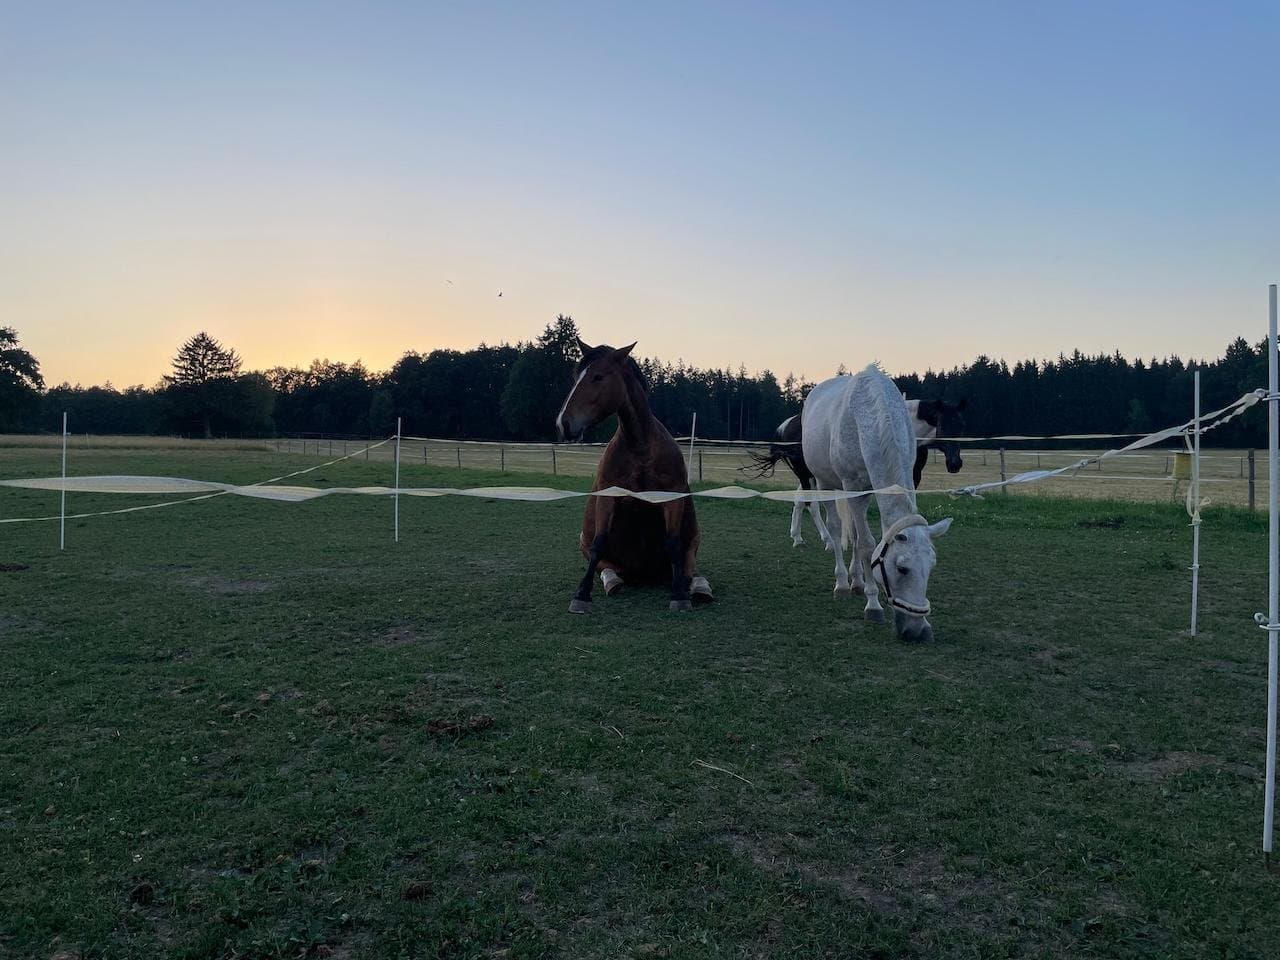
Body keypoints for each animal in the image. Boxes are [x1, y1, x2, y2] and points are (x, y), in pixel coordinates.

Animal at [555, 338, 713, 613]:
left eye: (598, 376)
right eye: (575, 376)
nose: (563, 424)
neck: (639, 447)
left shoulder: (671, 498)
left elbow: (673, 543)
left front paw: (679, 595)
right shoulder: (607, 498)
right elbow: (599, 544)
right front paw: (581, 594)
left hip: (694, 539)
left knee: (689, 568)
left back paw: (697, 587)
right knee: (607, 568)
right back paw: (612, 582)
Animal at [748, 396, 966, 548]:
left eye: (961, 425)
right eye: (942, 424)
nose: (955, 464)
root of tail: (786, 425)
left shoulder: (912, 478)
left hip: (811, 476)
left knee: (799, 500)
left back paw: (798, 537)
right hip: (807, 474)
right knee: (812, 504)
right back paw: (827, 540)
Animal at [801, 365, 952, 641]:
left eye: (931, 566)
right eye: (901, 568)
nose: (915, 631)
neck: (869, 416)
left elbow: (862, 539)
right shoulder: (852, 486)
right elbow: (867, 544)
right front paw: (873, 605)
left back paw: (856, 581)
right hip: (826, 483)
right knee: (836, 529)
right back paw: (842, 583)